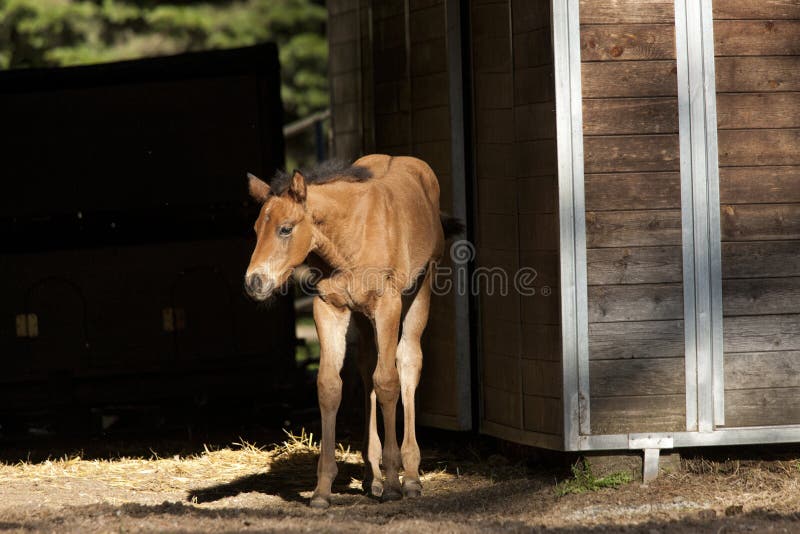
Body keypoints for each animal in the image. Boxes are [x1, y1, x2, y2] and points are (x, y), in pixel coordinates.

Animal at [244, 155, 460, 510]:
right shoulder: (329, 307)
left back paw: (410, 477)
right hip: (363, 317)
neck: (348, 239)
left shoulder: (388, 304)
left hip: (421, 288)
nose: (254, 283)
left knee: (407, 363)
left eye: (285, 228)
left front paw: (393, 483)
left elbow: (388, 383)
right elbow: (330, 387)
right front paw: (322, 490)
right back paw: (372, 476)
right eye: (256, 230)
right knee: (367, 367)